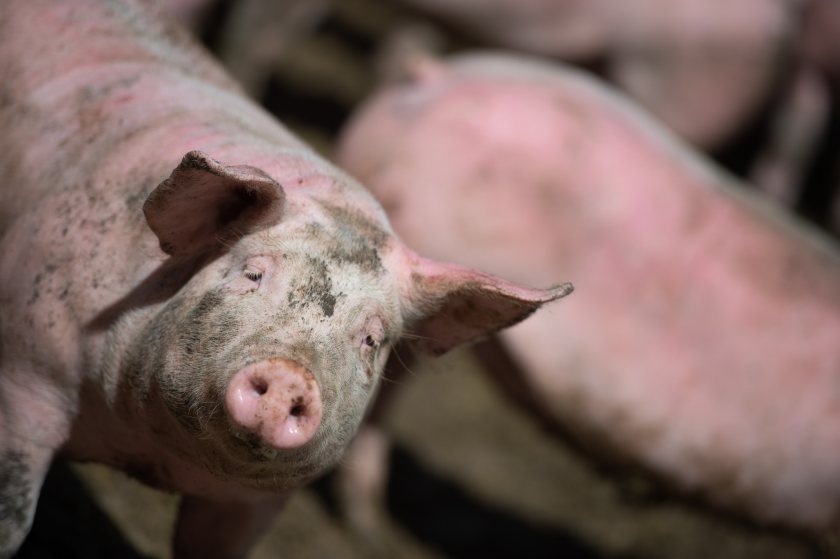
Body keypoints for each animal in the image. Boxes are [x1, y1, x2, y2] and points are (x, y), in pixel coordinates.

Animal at [0, 2, 570, 557]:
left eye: (371, 339)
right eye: (253, 273)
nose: (292, 374)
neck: (146, 452)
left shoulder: (254, 507)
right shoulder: (26, 381)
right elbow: (14, 522)